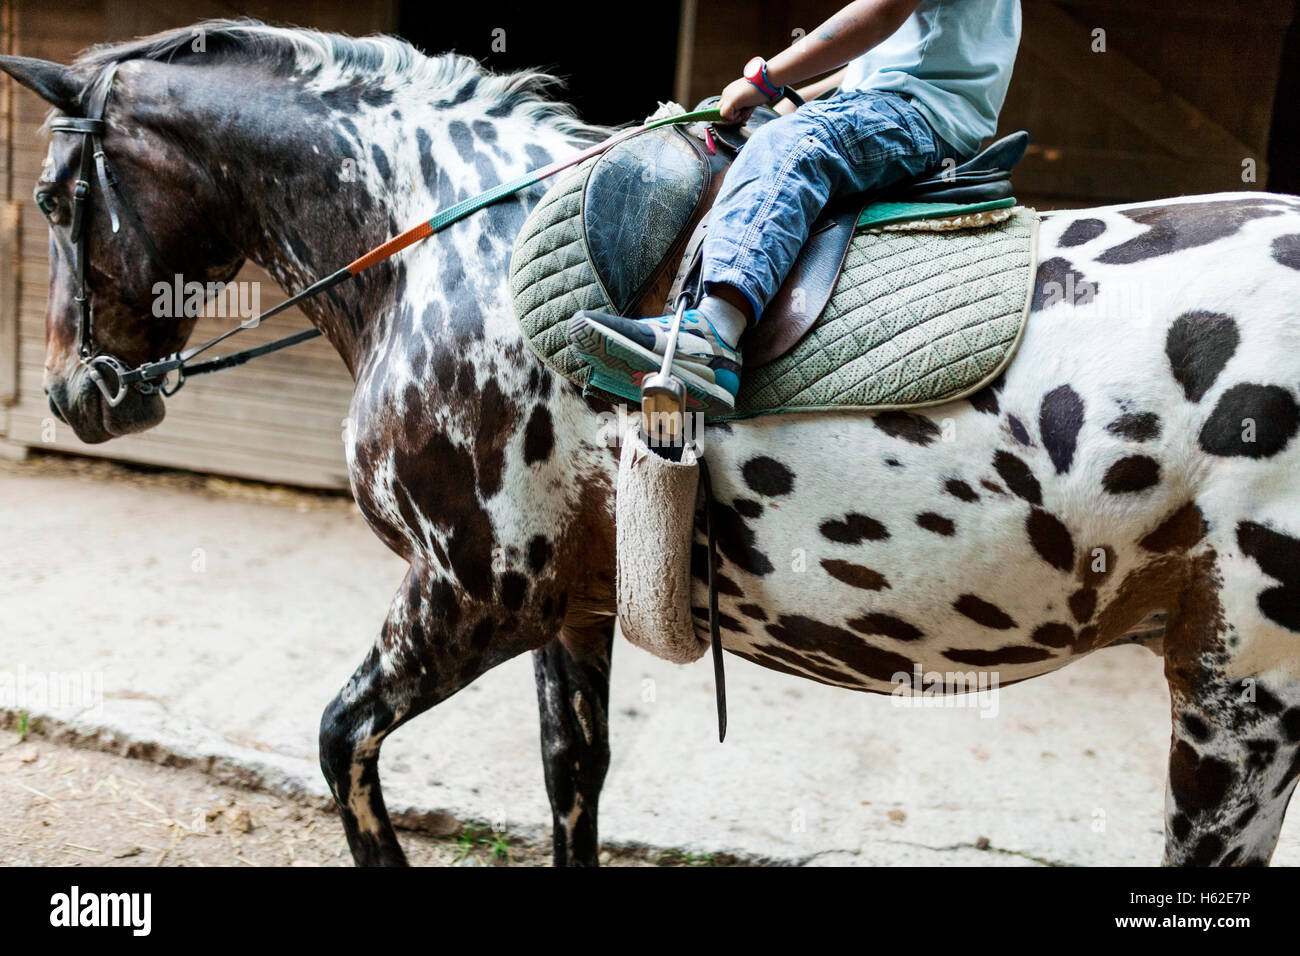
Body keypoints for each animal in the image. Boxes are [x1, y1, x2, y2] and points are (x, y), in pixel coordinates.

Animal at [7, 16, 1300, 868]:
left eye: (57, 200)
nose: (75, 393)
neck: (454, 250)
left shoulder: (470, 588)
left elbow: (342, 744)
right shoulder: (570, 603)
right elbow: (572, 778)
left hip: (1235, 689)